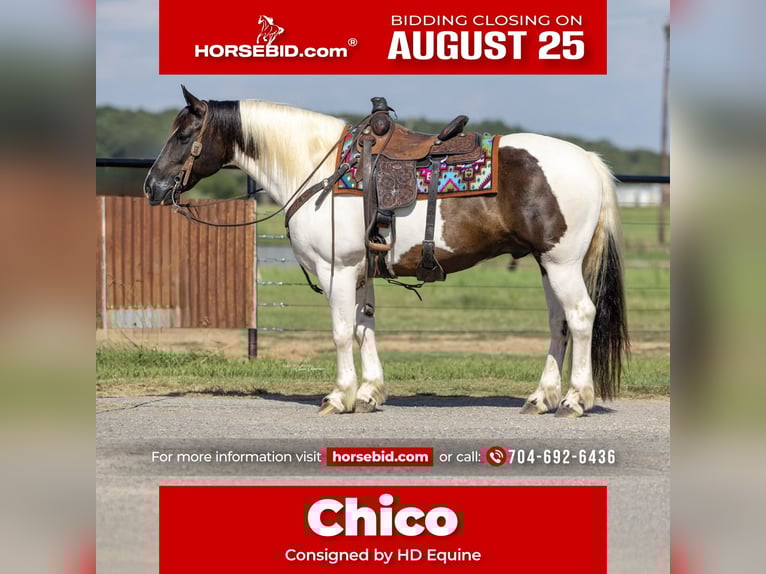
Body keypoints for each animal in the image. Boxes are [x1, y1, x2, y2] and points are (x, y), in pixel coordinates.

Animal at [144, 86, 629, 418]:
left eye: (184, 134)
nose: (152, 187)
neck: (319, 169)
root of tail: (587, 160)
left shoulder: (336, 270)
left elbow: (342, 333)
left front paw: (339, 396)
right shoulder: (360, 272)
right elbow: (365, 329)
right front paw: (368, 393)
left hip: (562, 263)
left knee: (580, 317)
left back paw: (575, 399)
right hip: (548, 265)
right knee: (558, 324)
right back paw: (542, 397)